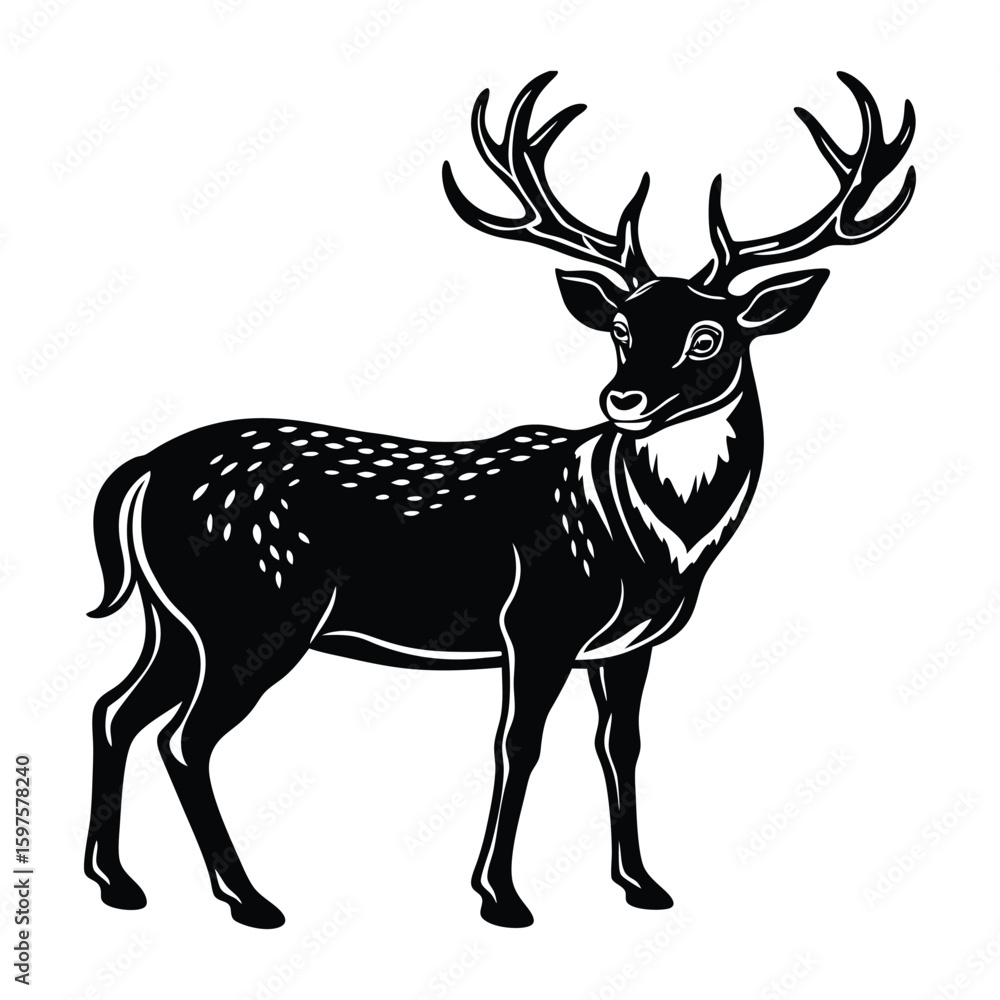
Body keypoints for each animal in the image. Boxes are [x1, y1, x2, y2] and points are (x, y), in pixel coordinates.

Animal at [83, 71, 915, 929]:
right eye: (621, 327)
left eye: (708, 336)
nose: (625, 398)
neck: (658, 543)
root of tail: (141, 470)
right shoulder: (539, 619)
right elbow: (519, 744)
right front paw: (501, 896)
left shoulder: (628, 644)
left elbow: (621, 745)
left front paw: (642, 885)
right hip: (252, 612)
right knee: (185, 737)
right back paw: (247, 898)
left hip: (175, 619)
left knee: (115, 709)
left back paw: (119, 882)